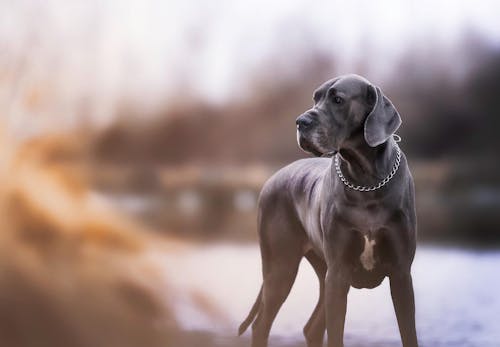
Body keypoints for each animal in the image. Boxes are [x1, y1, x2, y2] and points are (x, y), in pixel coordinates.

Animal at [238, 75, 418, 347]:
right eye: (315, 98)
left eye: (338, 99)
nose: (300, 122)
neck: (366, 181)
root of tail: (271, 179)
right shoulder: (338, 274)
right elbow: (335, 333)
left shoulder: (400, 274)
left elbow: (409, 334)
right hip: (282, 266)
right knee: (261, 325)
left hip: (319, 270)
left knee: (311, 327)